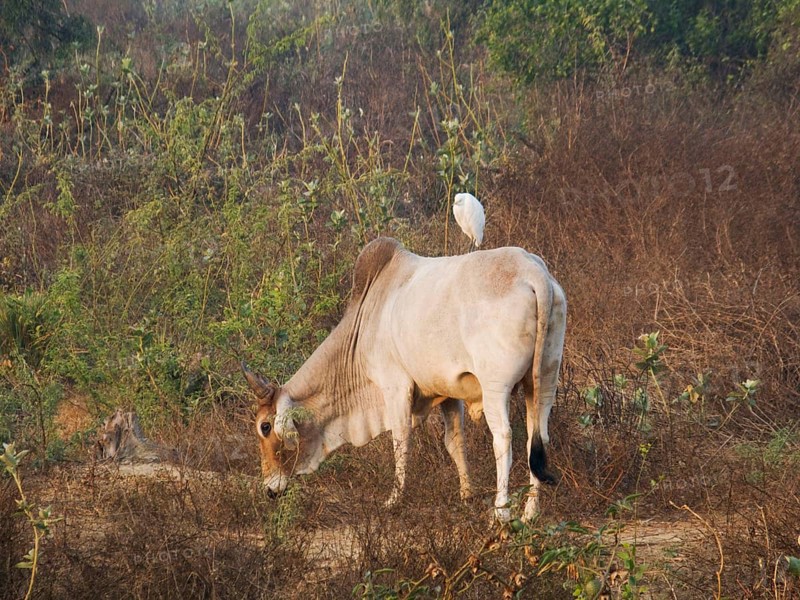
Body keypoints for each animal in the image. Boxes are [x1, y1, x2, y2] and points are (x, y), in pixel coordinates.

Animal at [242, 237, 566, 522]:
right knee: (538, 437)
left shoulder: (395, 387)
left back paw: (501, 512)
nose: (270, 489)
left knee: (504, 438)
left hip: (495, 388)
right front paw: (467, 495)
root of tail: (533, 272)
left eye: (265, 427)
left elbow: (400, 442)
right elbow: (454, 442)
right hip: (543, 383)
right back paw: (530, 512)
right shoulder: (449, 393)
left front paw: (394, 500)